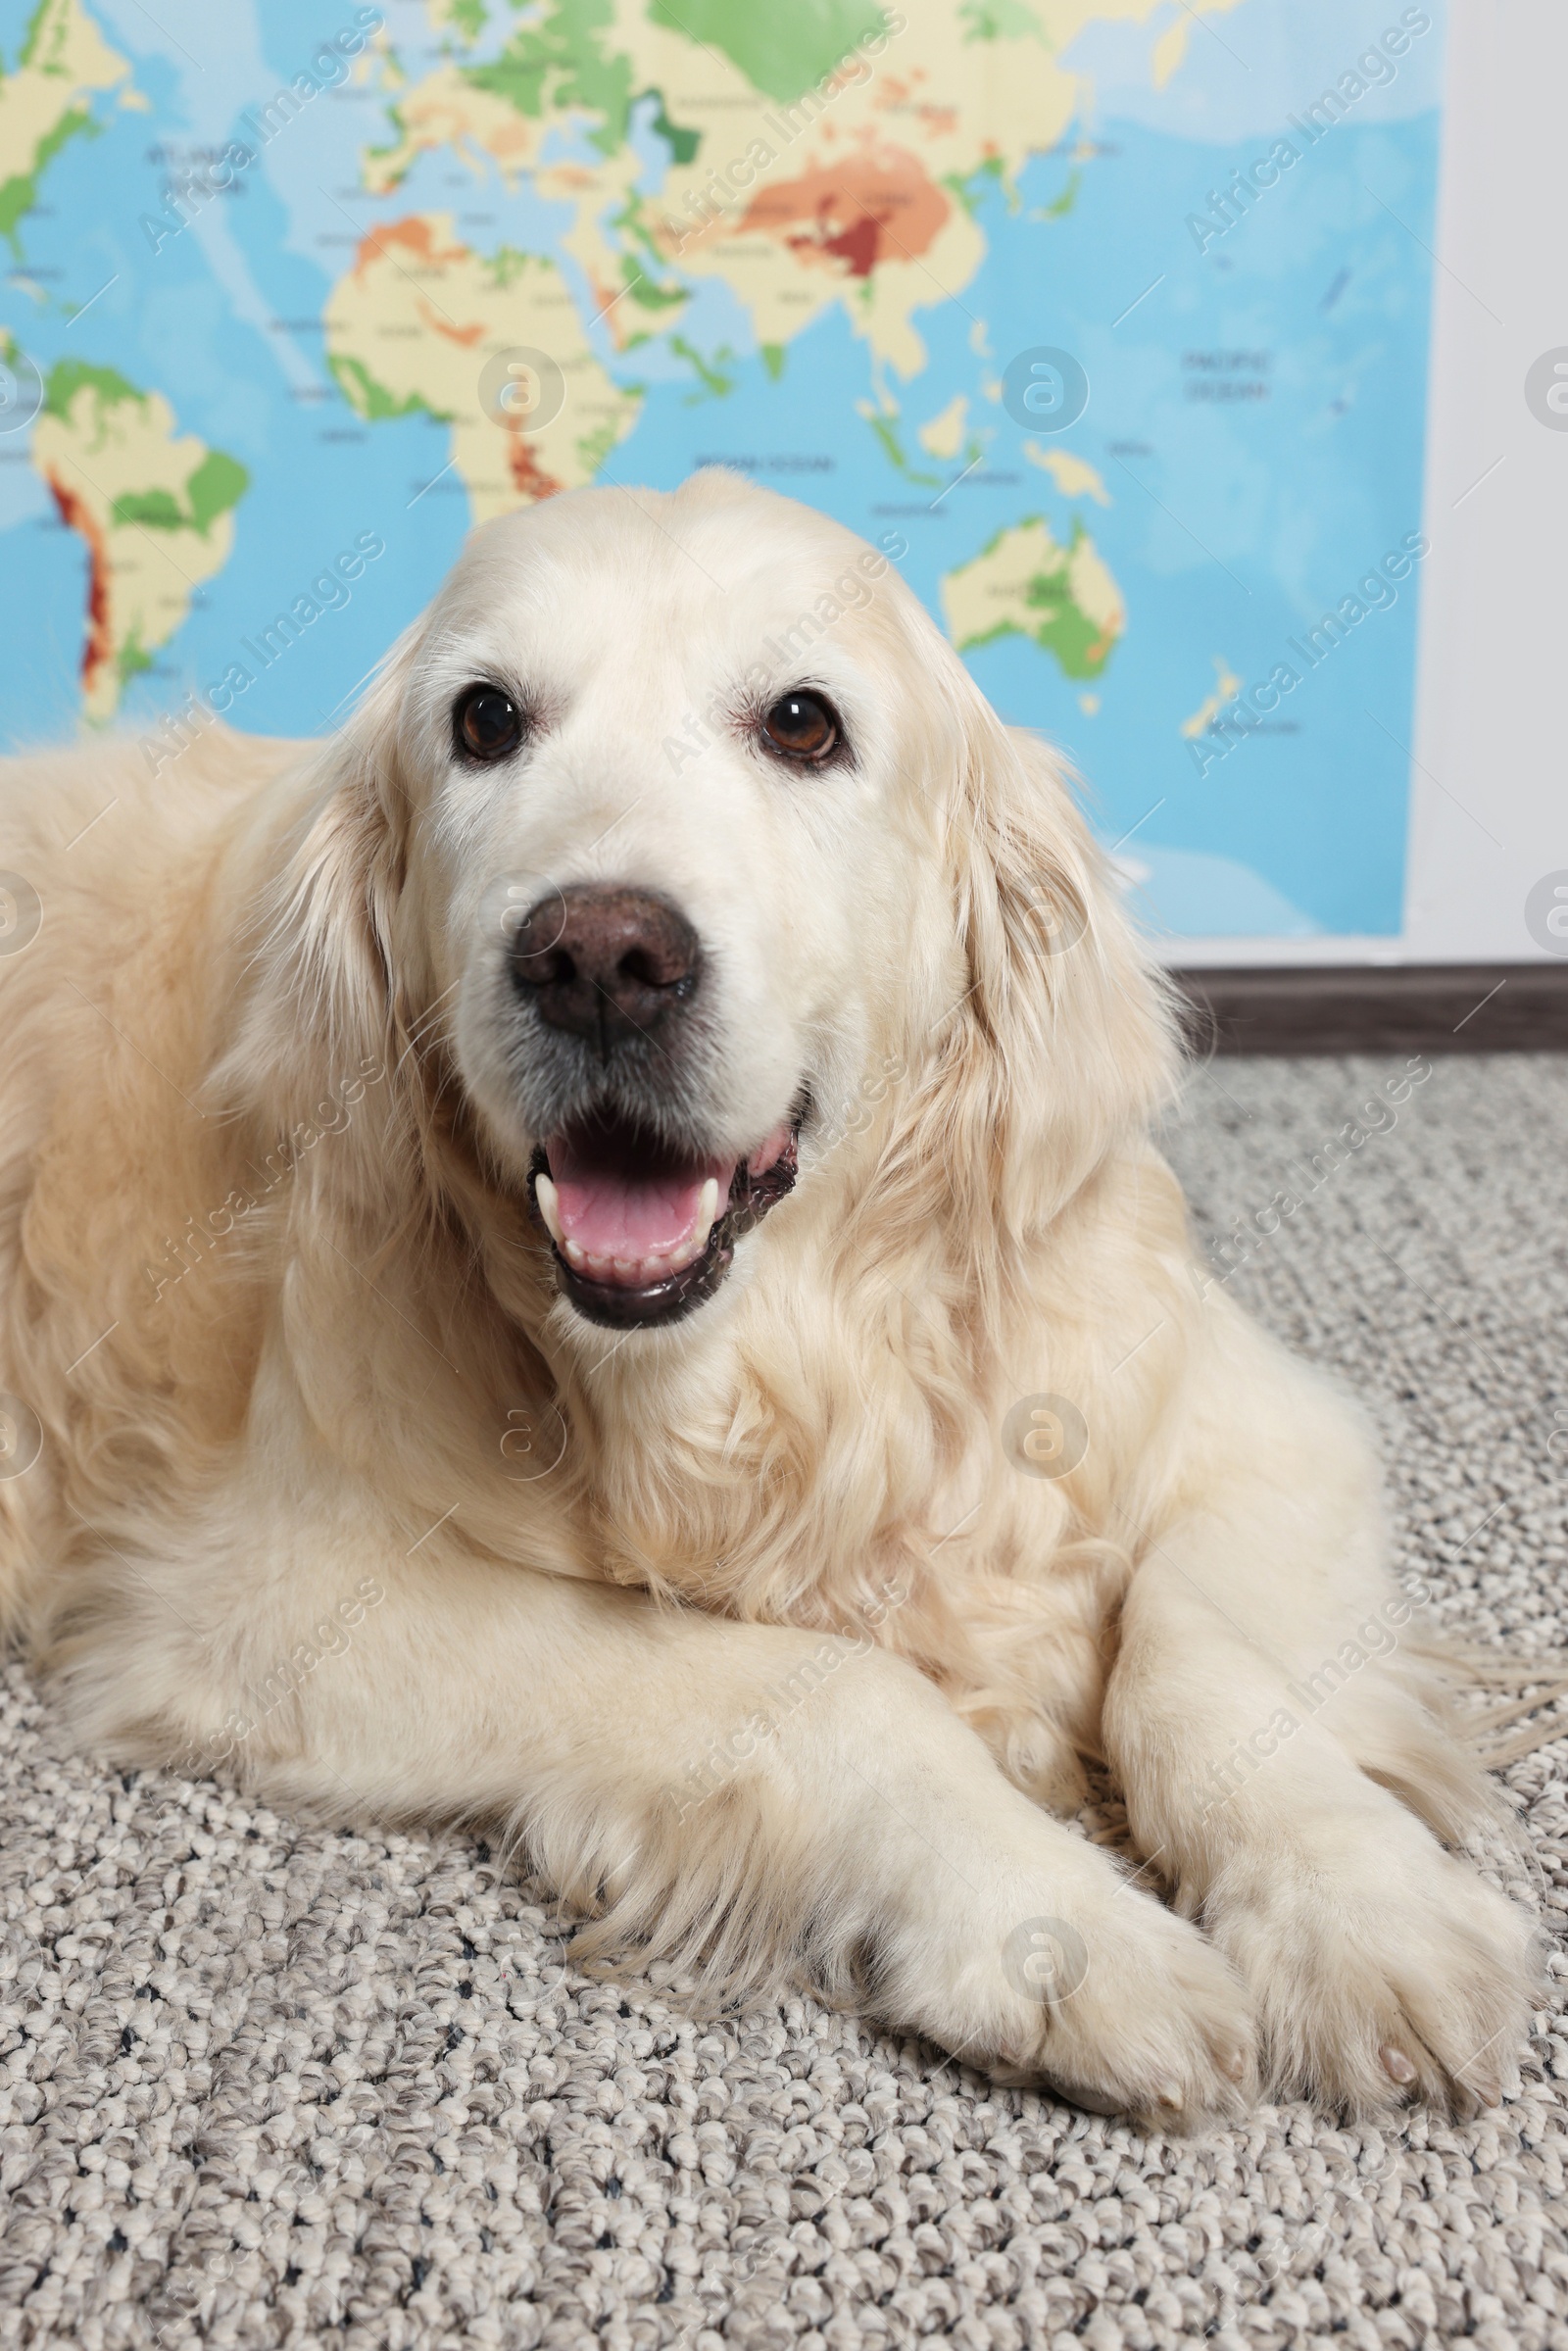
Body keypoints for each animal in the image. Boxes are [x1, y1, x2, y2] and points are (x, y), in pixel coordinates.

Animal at [0, 467, 1542, 2125]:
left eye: (804, 722)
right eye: (484, 720)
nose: (596, 957)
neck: (769, 1367)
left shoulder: (1268, 1422)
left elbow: (1194, 1649)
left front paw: (1359, 1904)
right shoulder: (269, 1593)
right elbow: (834, 1683)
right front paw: (1053, 1920)